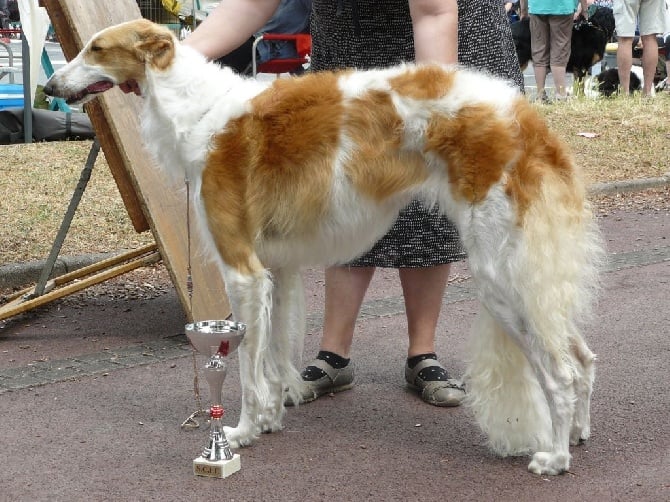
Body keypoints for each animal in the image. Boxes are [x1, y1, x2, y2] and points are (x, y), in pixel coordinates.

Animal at [44, 18, 608, 474]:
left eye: (95, 48)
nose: (50, 85)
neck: (196, 109)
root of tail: (524, 115)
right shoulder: (275, 268)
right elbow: (272, 354)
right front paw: (270, 418)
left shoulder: (242, 269)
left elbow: (246, 366)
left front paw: (239, 433)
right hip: (527, 273)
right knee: (583, 356)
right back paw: (579, 433)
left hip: (501, 275)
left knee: (560, 372)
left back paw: (555, 457)